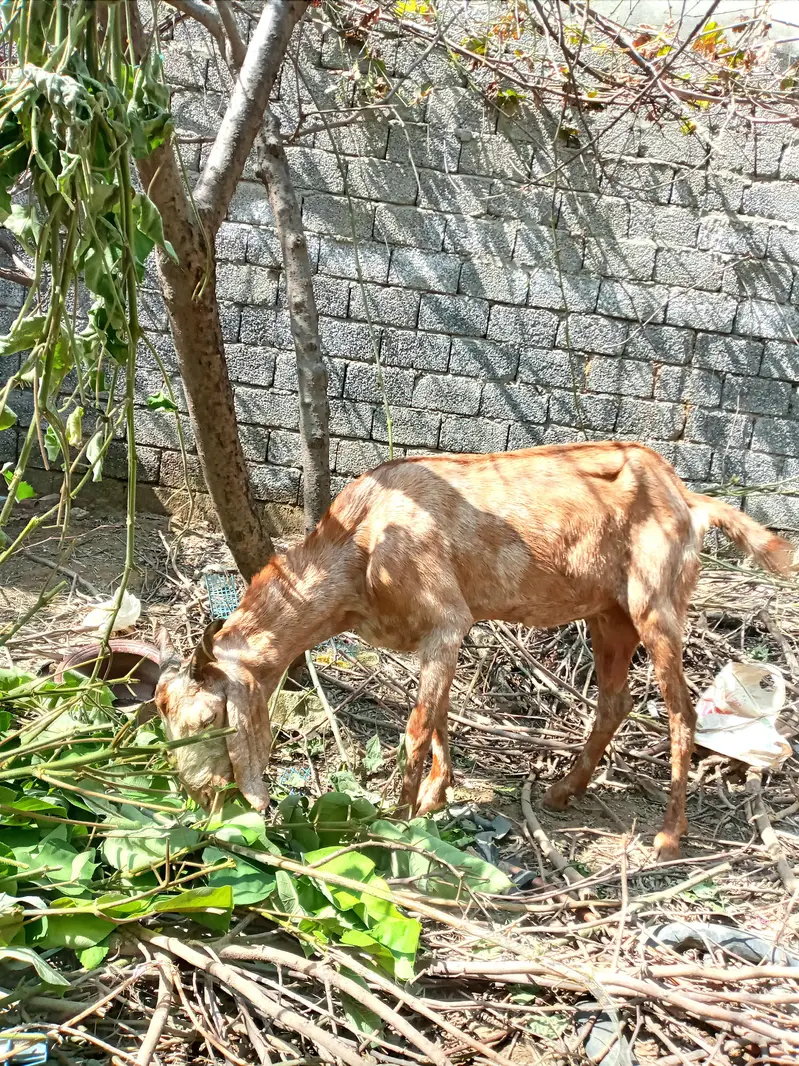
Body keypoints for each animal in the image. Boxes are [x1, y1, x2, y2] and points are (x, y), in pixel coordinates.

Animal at [156, 441, 794, 860]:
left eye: (210, 719)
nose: (200, 798)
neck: (360, 543)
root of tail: (687, 497)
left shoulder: (446, 621)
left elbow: (417, 726)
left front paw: (396, 819)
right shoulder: (435, 639)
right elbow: (437, 716)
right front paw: (434, 800)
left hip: (655, 604)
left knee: (682, 711)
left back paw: (668, 835)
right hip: (609, 614)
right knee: (616, 702)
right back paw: (563, 792)